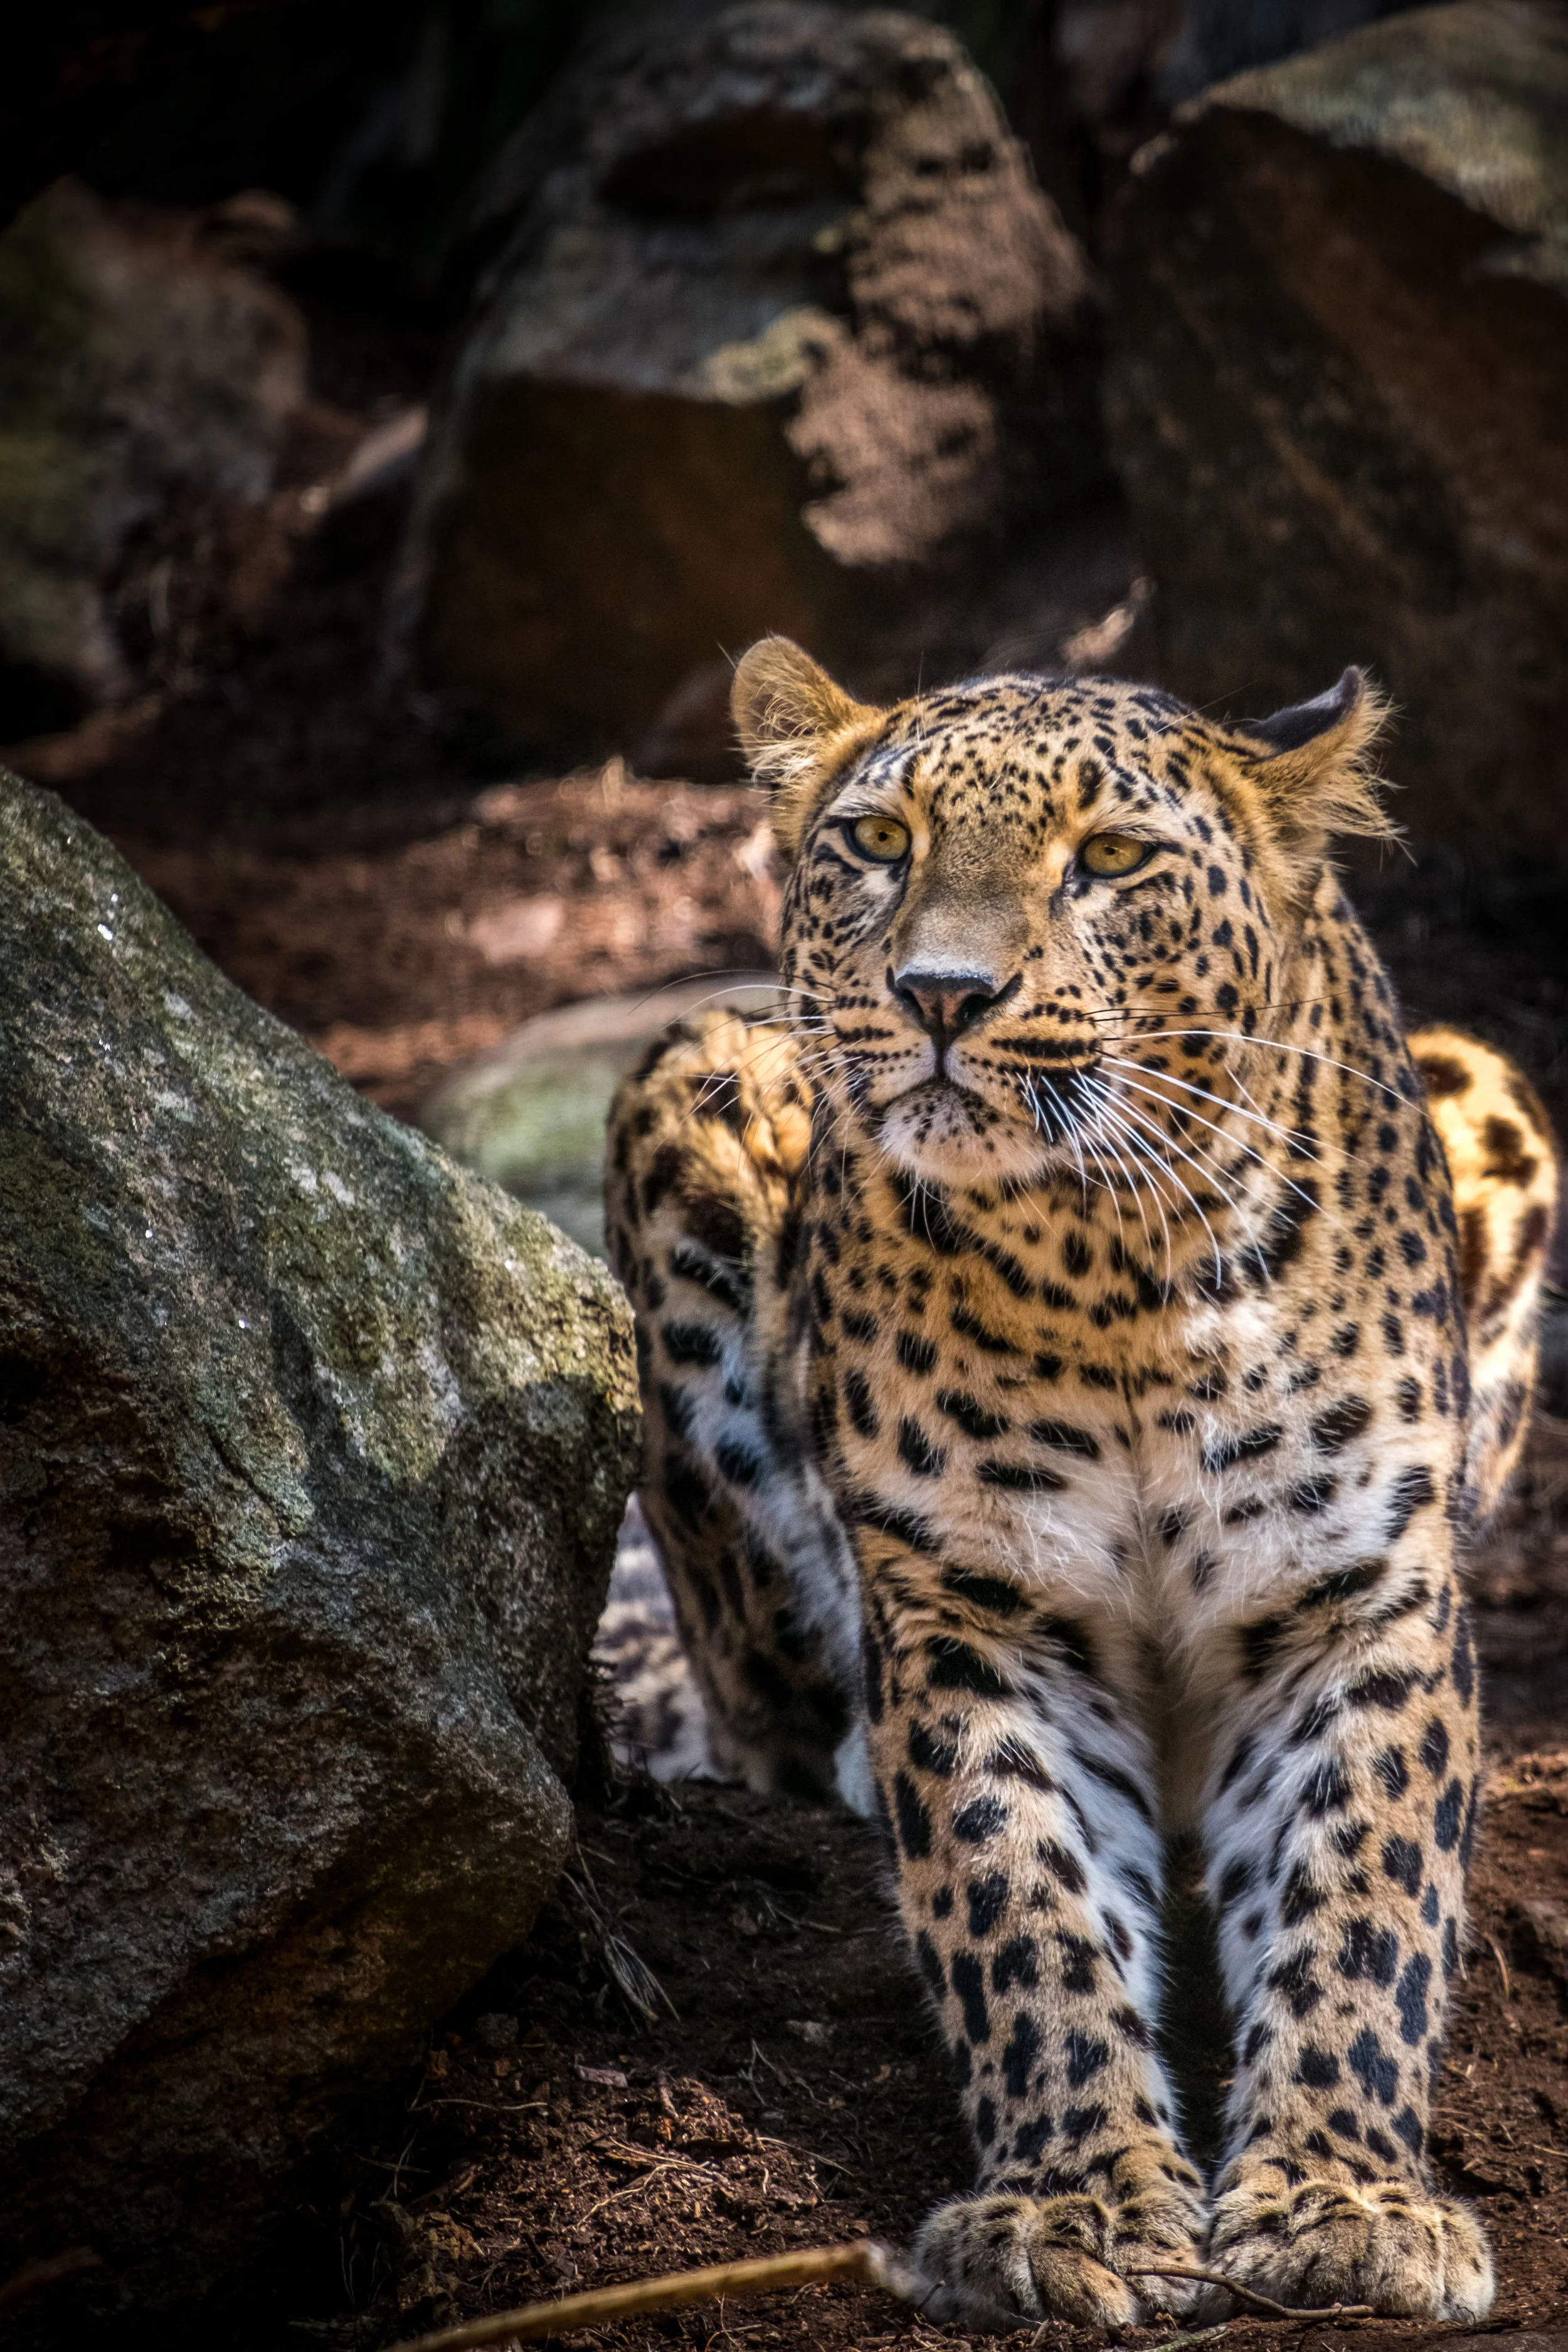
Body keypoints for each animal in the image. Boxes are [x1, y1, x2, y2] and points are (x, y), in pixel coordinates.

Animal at [603, 637, 1559, 2330]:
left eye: (1107, 859)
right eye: (878, 843)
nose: (939, 993)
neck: (1110, 1271)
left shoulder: (1358, 1597)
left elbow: (1364, 1889)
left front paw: (1346, 2200)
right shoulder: (974, 1607)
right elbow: (1021, 1907)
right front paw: (1078, 2207)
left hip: (1494, 1097)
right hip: (692, 1087)